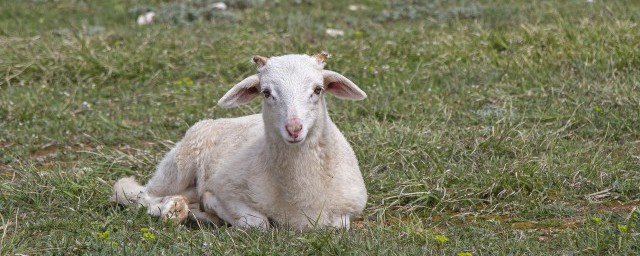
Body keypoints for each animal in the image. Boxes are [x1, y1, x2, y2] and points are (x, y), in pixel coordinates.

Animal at [112, 52, 368, 230]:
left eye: (318, 89)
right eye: (266, 92)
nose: (294, 129)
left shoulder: (348, 211)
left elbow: (339, 225)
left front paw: (207, 211)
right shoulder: (229, 190)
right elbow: (258, 223)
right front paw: (211, 205)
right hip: (178, 165)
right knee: (140, 195)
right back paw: (174, 210)